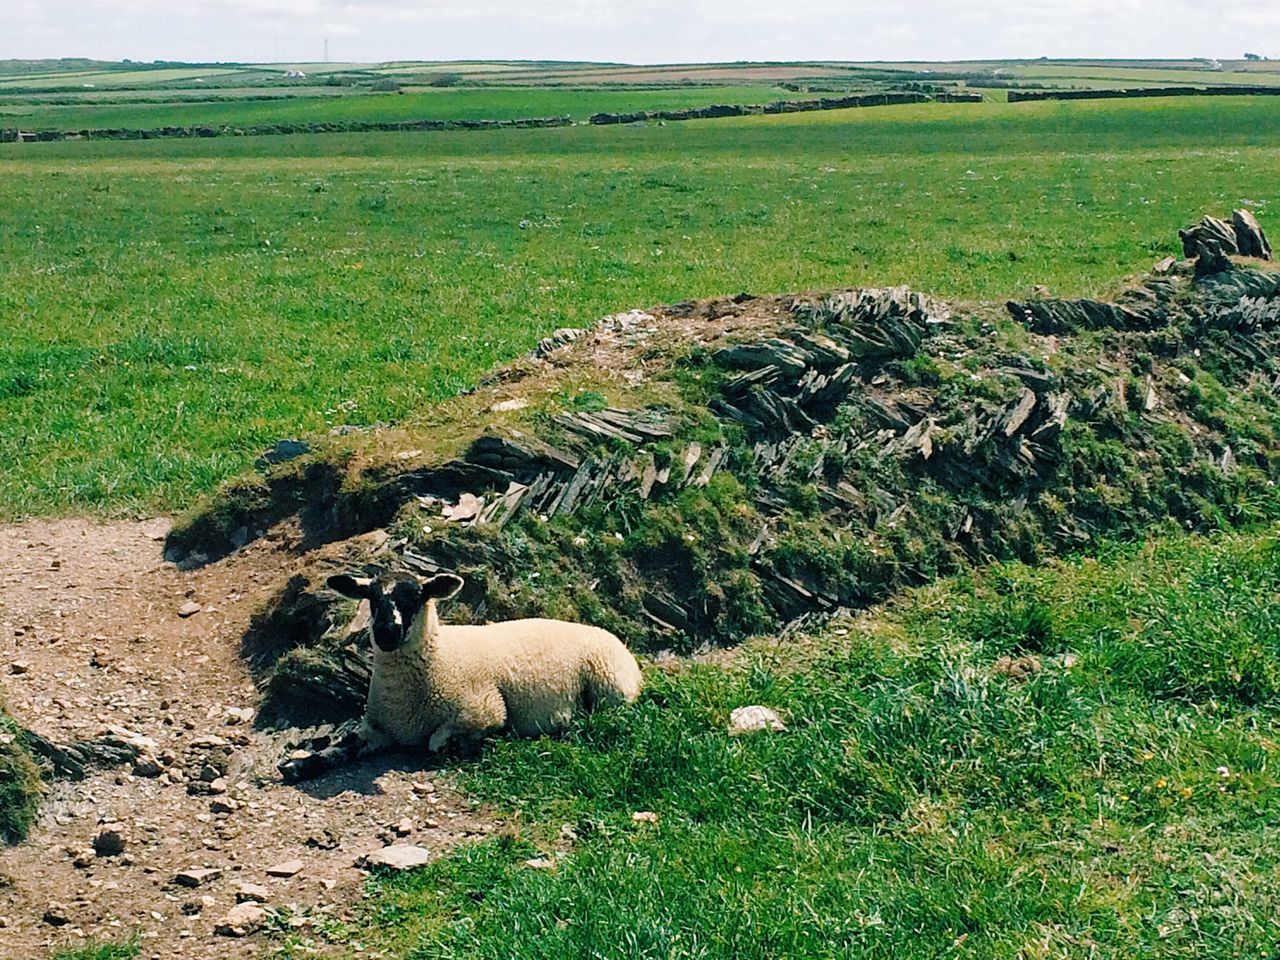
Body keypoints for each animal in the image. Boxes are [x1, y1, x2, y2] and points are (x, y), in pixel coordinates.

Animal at [280, 570, 640, 783]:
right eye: (372, 598)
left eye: (417, 597)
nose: (385, 632)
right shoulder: (378, 727)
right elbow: (340, 748)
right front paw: (299, 766)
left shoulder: (483, 710)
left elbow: (438, 742)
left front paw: (488, 741)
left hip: (611, 686)